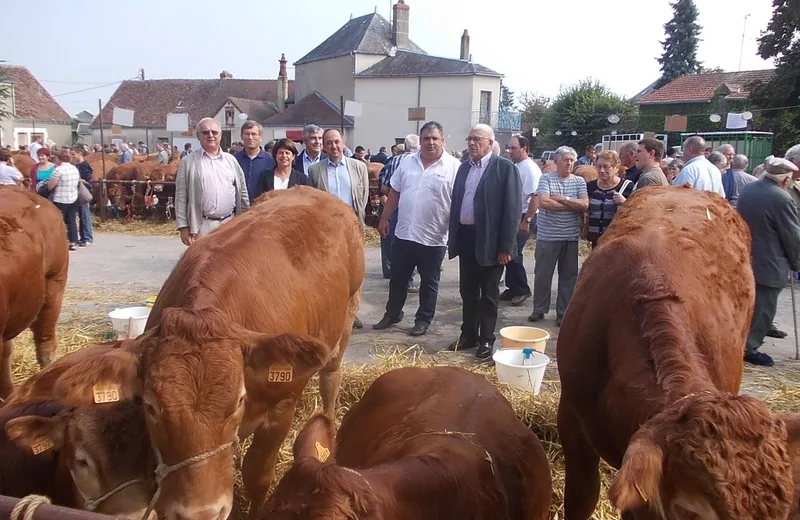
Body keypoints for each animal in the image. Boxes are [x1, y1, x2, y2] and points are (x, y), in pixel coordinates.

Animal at [50, 188, 362, 520]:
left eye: (238, 400)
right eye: (151, 406)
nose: (200, 512)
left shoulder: (282, 406)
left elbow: (257, 474)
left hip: (344, 323)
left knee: (331, 379)